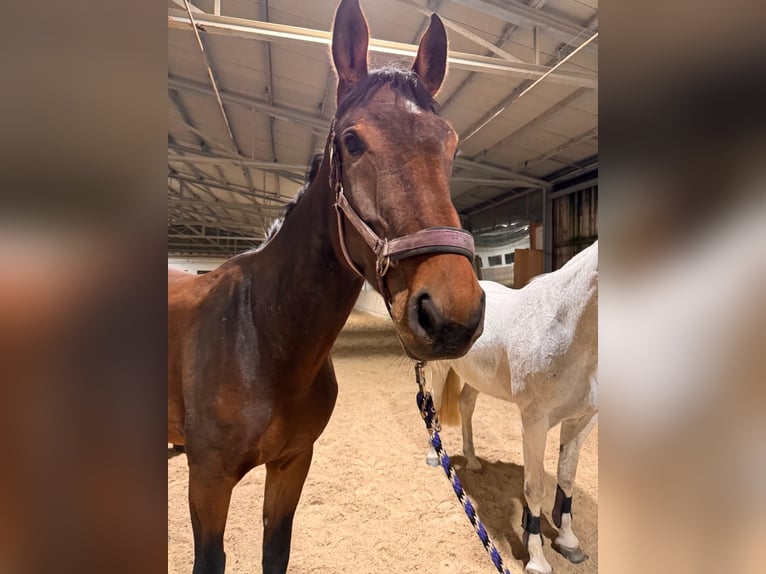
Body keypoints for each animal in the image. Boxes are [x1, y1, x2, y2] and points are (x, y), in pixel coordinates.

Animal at [168, 2, 486, 572]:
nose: (452, 315)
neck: (261, 337)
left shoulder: (293, 464)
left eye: (450, 145)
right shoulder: (207, 483)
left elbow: (275, 552)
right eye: (352, 141)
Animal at [428, 242, 596, 574]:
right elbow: (534, 487)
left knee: (466, 406)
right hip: (440, 369)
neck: (569, 328)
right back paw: (433, 455)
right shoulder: (534, 422)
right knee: (434, 405)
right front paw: (537, 560)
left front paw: (569, 542)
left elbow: (567, 477)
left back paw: (473, 460)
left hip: (476, 379)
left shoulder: (581, 421)